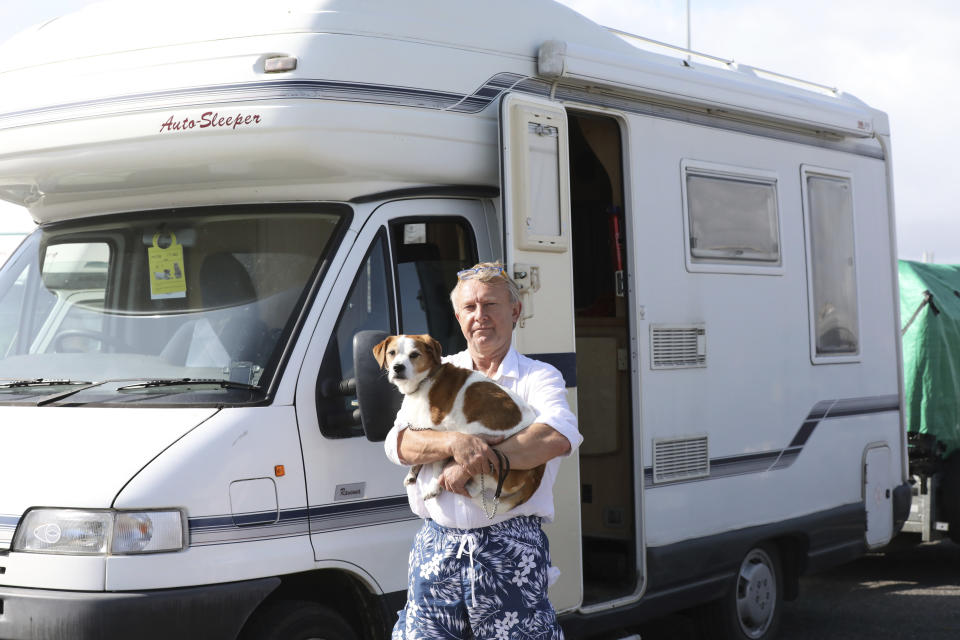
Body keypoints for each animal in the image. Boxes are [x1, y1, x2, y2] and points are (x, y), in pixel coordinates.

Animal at [372, 332, 544, 512]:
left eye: (414, 355)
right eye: (392, 353)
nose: (397, 367)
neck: (426, 380)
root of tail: (537, 472)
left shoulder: (440, 431)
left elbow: (436, 465)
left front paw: (434, 486)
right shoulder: (420, 429)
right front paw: (412, 473)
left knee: (474, 489)